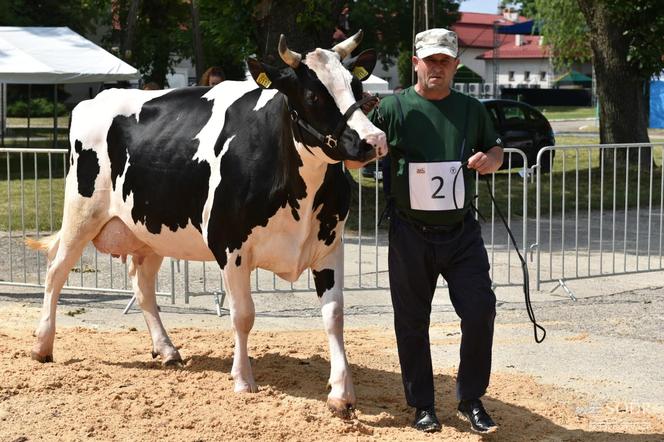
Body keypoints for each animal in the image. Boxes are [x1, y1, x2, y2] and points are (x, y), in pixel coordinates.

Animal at [26, 32, 386, 418]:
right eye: (313, 95)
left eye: (357, 86)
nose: (374, 140)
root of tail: (94, 101)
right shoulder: (230, 245)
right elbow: (243, 315)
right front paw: (243, 380)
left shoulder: (330, 246)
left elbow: (334, 316)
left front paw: (342, 393)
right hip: (82, 212)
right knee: (55, 272)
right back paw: (43, 345)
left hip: (152, 230)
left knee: (143, 285)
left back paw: (166, 349)